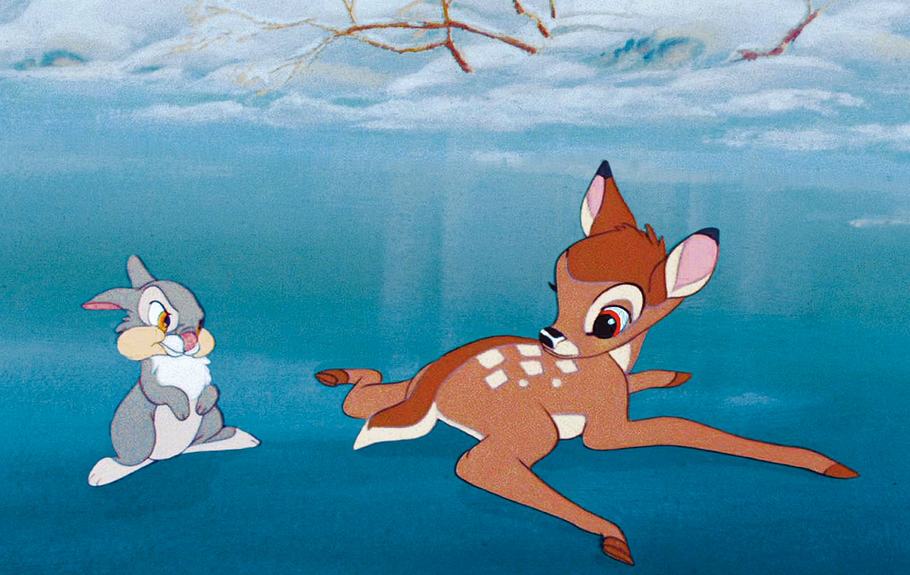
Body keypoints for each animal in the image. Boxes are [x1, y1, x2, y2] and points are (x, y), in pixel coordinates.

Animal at [316, 161, 858, 566]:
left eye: (608, 321)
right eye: (555, 287)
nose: (549, 337)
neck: (610, 362)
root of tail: (439, 387)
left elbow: (651, 390)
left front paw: (673, 375)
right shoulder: (605, 428)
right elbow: (682, 426)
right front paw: (826, 463)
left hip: (411, 386)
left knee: (363, 403)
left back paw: (335, 374)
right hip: (531, 424)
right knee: (478, 464)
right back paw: (612, 534)